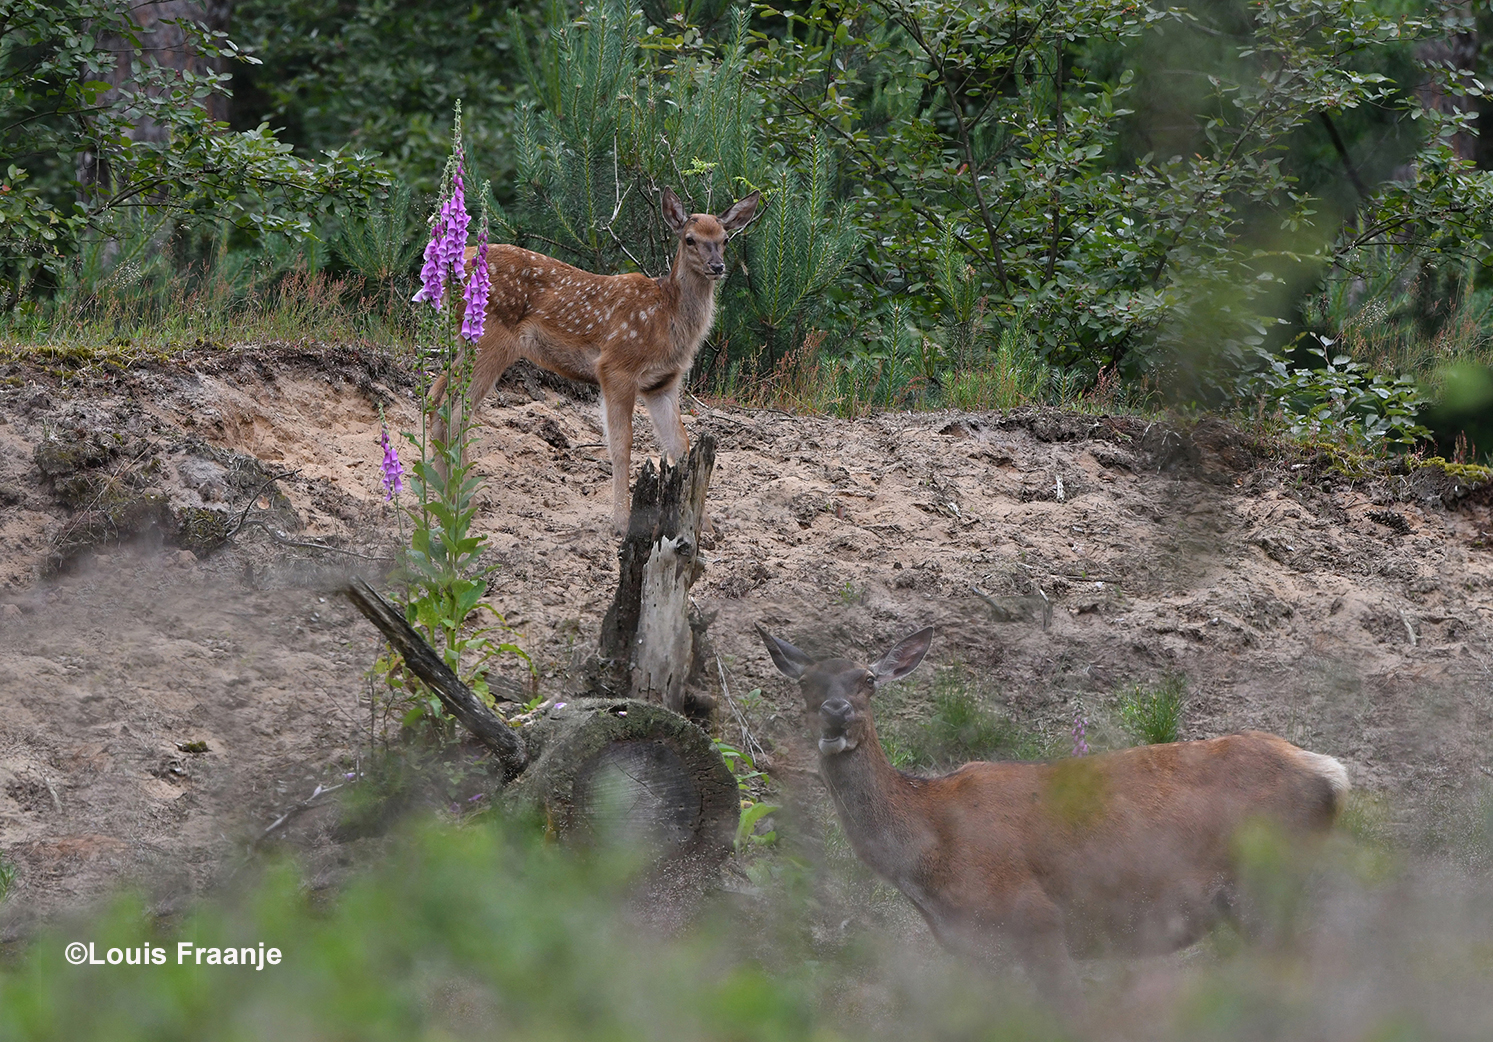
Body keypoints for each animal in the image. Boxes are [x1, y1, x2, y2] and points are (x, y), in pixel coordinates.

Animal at [429, 182, 758, 531]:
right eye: (690, 239)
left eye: (725, 239)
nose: (717, 266)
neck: (667, 317)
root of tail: (456, 264)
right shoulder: (617, 366)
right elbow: (621, 443)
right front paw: (622, 521)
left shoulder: (663, 384)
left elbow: (680, 446)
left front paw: (704, 527)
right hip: (490, 339)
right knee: (457, 411)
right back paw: (466, 501)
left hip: (467, 343)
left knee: (436, 397)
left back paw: (444, 497)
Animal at [758, 621, 1355, 1003]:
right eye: (806, 683)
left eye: (868, 680)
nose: (836, 712)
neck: (930, 849)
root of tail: (1331, 773)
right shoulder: (971, 950)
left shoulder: (1037, 917)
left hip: (1265, 884)